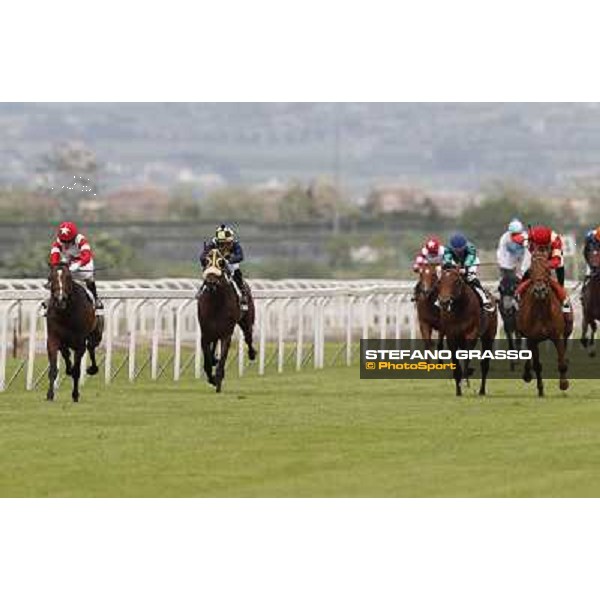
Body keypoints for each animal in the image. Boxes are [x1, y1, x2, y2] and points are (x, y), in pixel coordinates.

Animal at [46, 264, 102, 400]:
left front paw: (75, 394)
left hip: (96, 335)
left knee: (91, 348)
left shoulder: (80, 343)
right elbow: (54, 368)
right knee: (66, 353)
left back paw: (92, 369)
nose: (60, 299)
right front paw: (50, 394)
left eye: (68, 277)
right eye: (51, 277)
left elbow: (77, 371)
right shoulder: (52, 339)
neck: (66, 313)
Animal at [196, 247, 254, 392]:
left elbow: (222, 358)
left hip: (247, 320)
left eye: (221, 262)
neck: (216, 302)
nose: (211, 282)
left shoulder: (226, 334)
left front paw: (218, 379)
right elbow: (207, 360)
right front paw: (211, 377)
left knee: (248, 337)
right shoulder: (205, 333)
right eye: (206, 261)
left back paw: (252, 354)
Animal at [436, 268, 496, 398]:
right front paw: (458, 390)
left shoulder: (471, 335)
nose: (444, 302)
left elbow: (467, 357)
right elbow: (455, 361)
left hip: (488, 336)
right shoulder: (451, 336)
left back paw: (481, 391)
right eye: (439, 281)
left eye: (457, 281)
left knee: (485, 364)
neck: (459, 310)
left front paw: (465, 379)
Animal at [512, 248, 568, 394]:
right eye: (531, 270)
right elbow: (537, 365)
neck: (542, 311)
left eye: (547, 270)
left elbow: (562, 362)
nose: (539, 290)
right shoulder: (532, 338)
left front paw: (564, 384)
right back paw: (527, 373)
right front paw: (541, 389)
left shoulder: (558, 336)